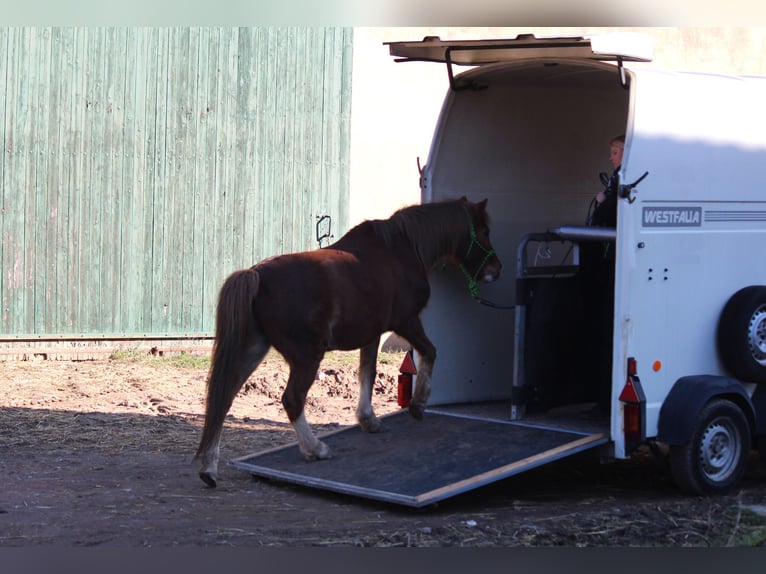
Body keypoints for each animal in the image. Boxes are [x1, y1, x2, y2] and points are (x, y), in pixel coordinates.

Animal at [194, 197, 502, 487]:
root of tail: (256, 275)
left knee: (223, 397)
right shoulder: (406, 322)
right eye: (484, 230)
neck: (402, 249)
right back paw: (315, 449)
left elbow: (368, 372)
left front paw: (369, 420)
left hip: (253, 349)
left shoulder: (373, 333)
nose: (496, 269)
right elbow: (430, 352)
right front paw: (418, 404)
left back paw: (209, 467)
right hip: (306, 357)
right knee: (292, 399)